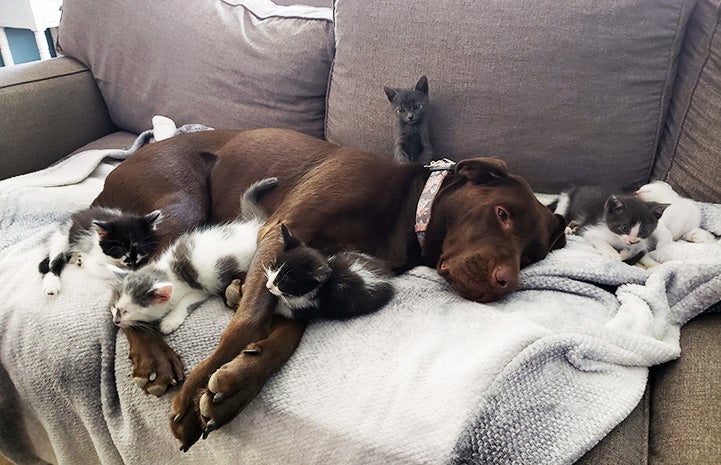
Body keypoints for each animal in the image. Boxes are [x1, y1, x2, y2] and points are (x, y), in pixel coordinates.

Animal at [110, 178, 278, 334]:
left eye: (126, 311)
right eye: (115, 307)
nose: (116, 321)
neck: (168, 271)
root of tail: (258, 226)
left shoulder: (199, 290)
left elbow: (186, 303)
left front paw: (169, 322)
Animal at [264, 223, 394, 320]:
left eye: (285, 280)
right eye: (274, 266)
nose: (268, 286)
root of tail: (386, 275)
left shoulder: (311, 307)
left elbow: (289, 311)